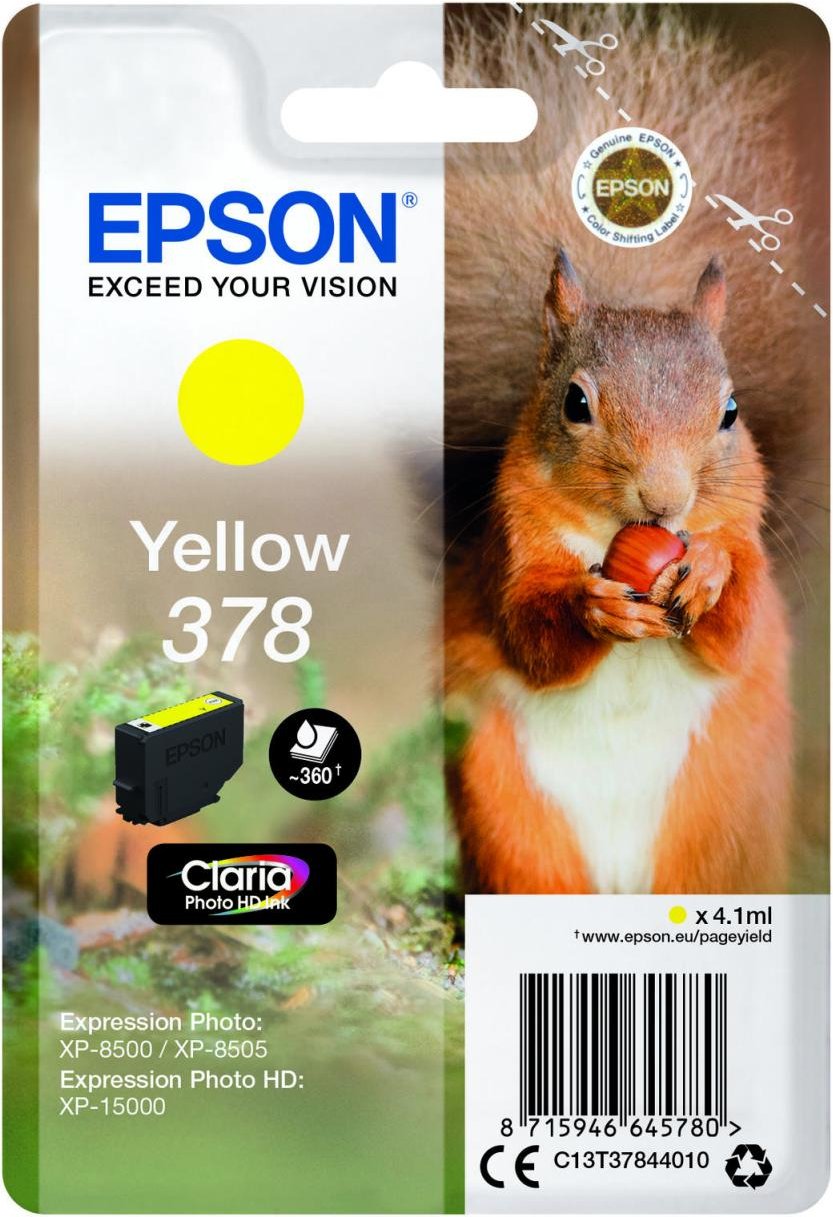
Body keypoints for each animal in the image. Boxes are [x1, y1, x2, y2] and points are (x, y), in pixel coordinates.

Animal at [443, 5, 827, 895]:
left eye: (730, 411)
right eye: (574, 403)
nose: (665, 500)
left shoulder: (747, 541)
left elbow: (738, 626)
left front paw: (709, 573)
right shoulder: (511, 548)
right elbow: (529, 632)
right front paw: (594, 606)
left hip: (722, 818)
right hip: (509, 814)